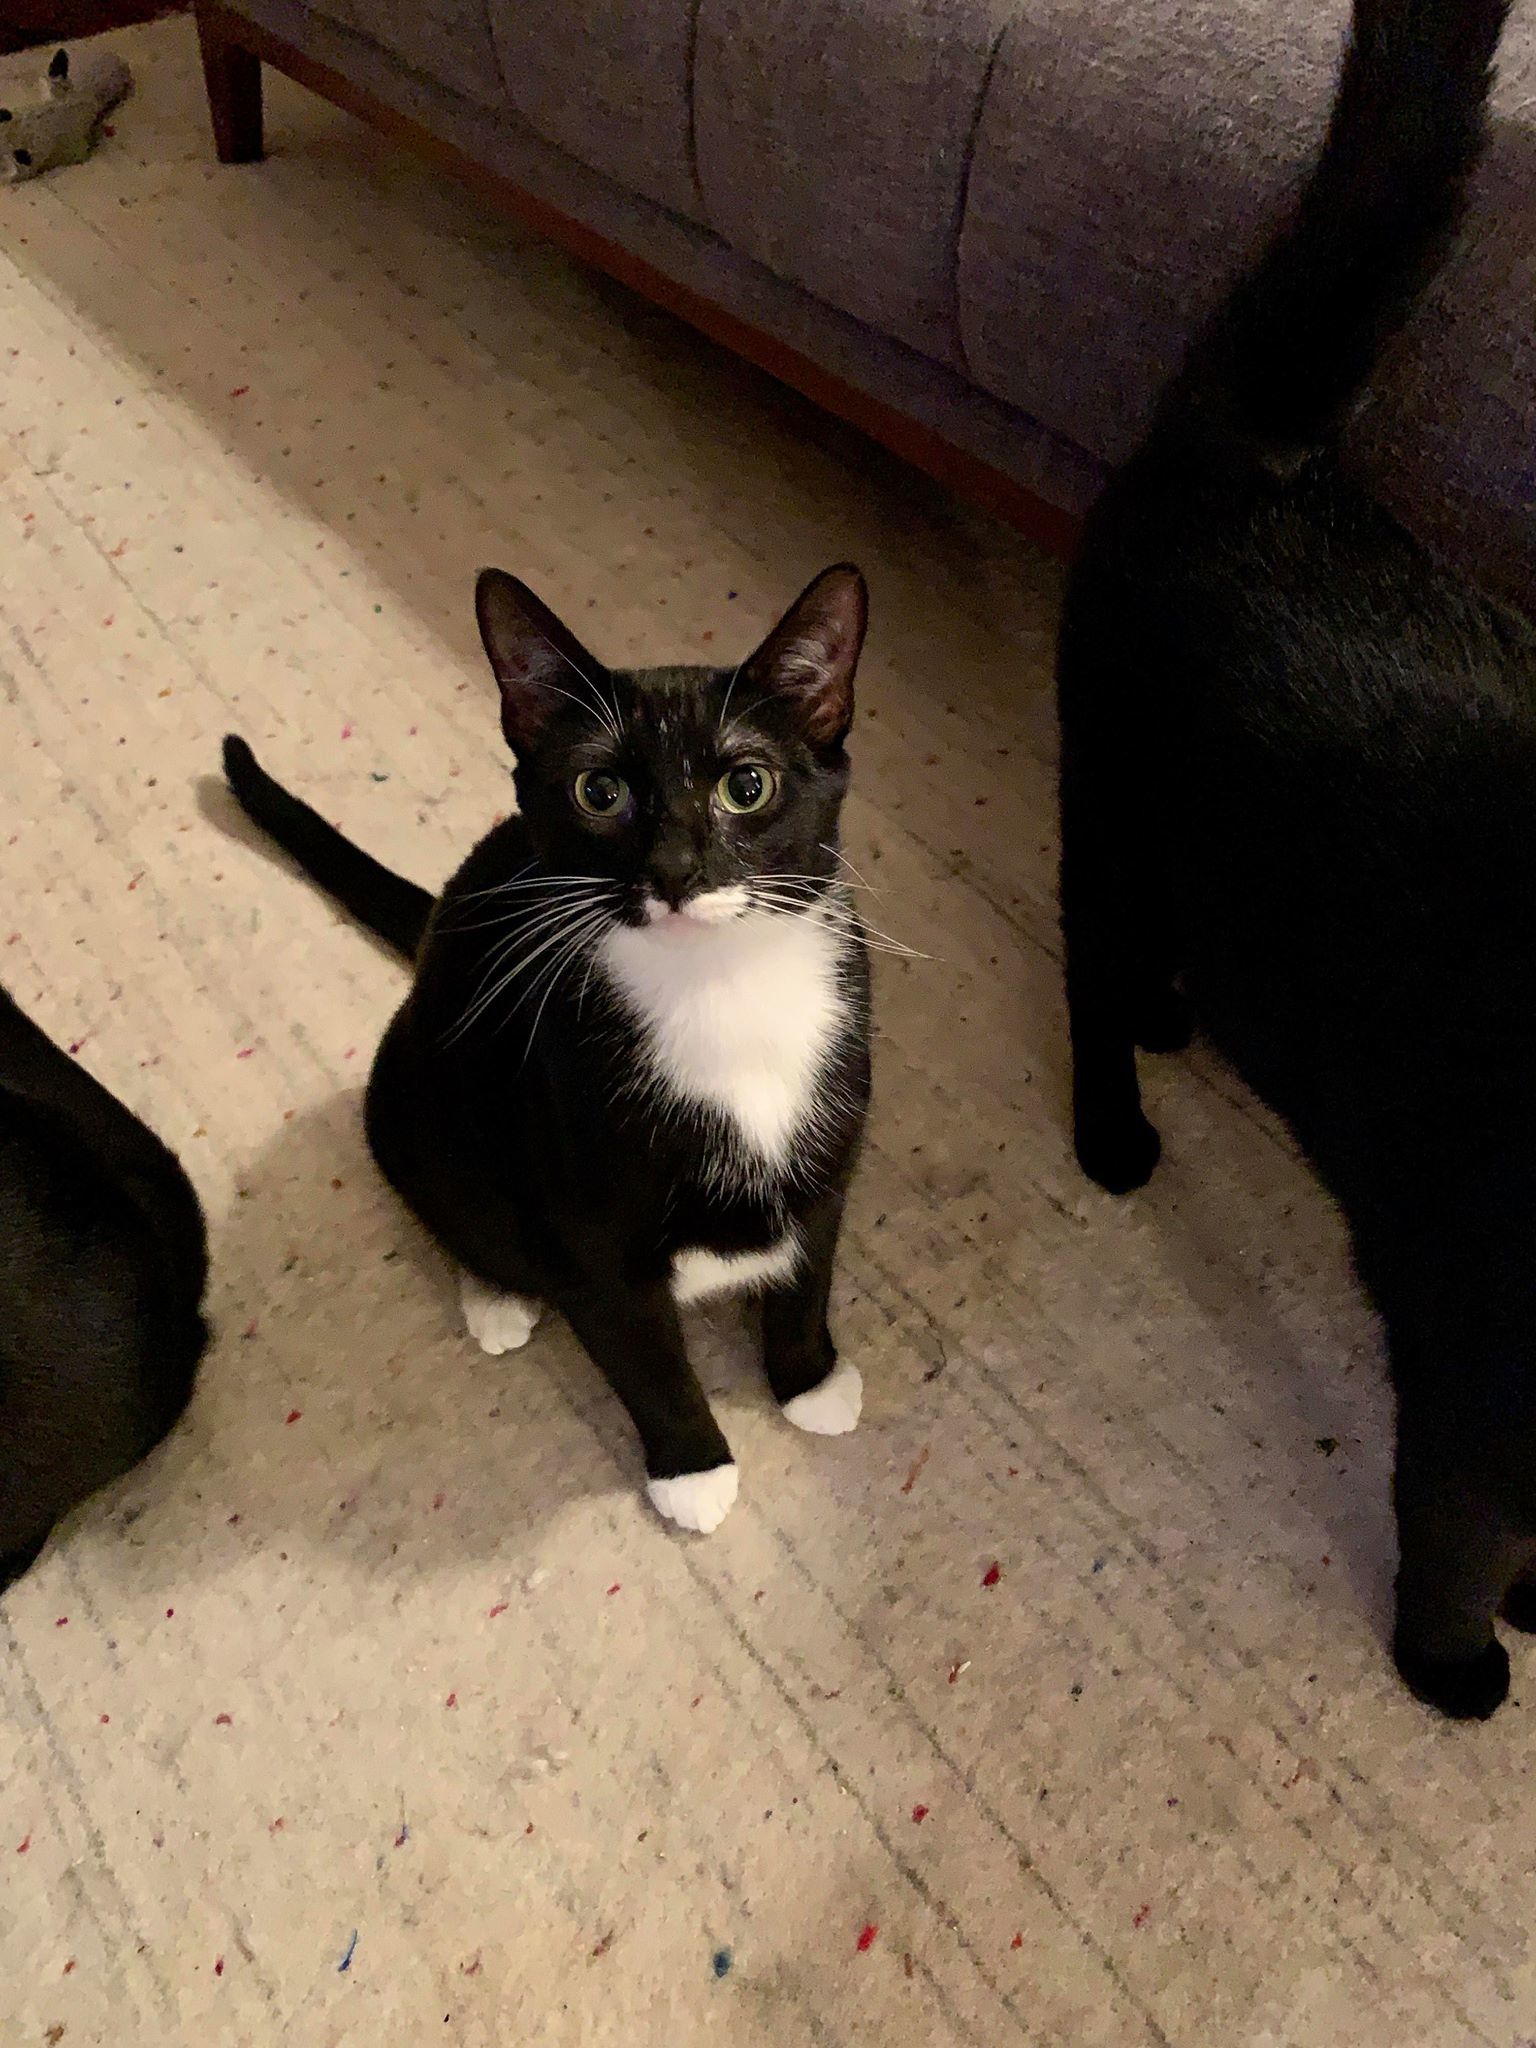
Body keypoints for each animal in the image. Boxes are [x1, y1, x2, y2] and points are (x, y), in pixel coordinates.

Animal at [228, 569, 876, 1531]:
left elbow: (810, 1267)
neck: (715, 989)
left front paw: (808, 1381)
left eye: (748, 786)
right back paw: (496, 1295)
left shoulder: (829, 1145)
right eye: (598, 792)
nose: (676, 871)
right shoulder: (588, 1226)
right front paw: (693, 1469)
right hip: (414, 1093)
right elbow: (643, 1354)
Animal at [1064, 0, 1536, 1712]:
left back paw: (1176, 1018)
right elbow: (1459, 1540)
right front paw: (1460, 1666)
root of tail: (1269, 455)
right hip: (1111, 812)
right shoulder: (1481, 1381)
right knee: (1085, 970)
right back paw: (1116, 1125)